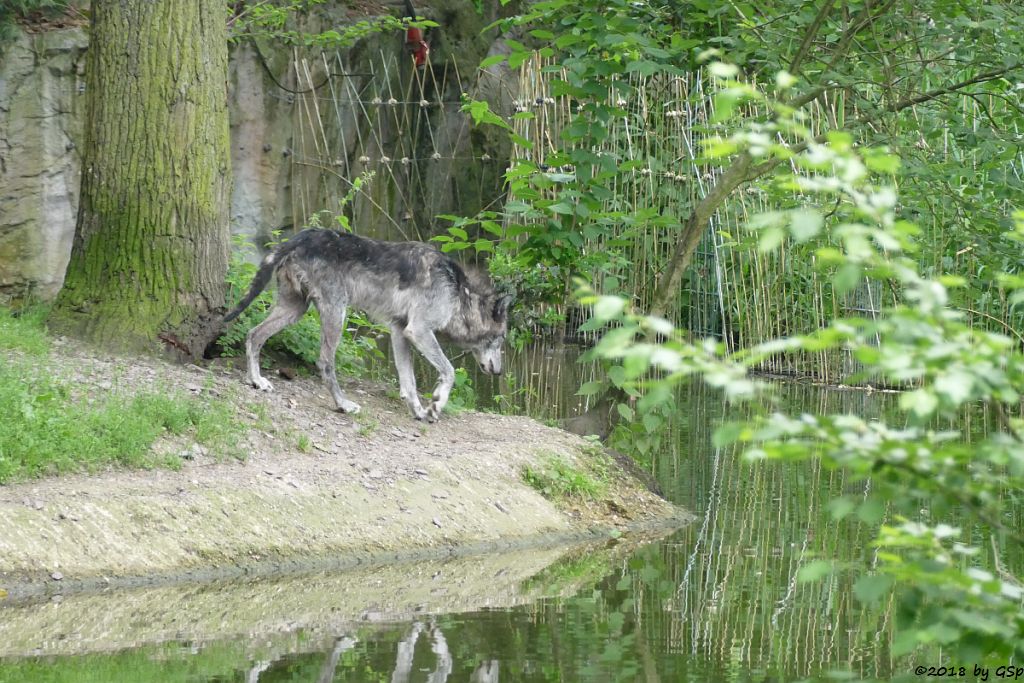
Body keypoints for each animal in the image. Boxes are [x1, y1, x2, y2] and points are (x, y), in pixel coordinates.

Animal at [224, 229, 512, 421]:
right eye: (501, 339)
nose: (499, 372)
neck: (459, 293)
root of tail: (301, 236)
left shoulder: (400, 332)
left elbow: (409, 382)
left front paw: (419, 411)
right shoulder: (418, 331)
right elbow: (449, 371)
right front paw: (437, 403)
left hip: (293, 310)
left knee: (253, 335)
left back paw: (257, 381)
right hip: (335, 314)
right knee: (325, 363)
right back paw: (343, 405)